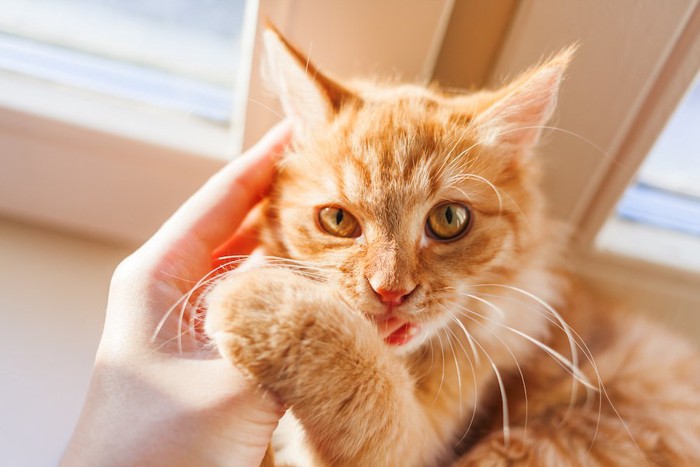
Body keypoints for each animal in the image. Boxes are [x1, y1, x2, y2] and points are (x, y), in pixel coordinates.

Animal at [204, 30, 700, 467]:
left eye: (449, 220)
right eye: (338, 220)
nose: (390, 291)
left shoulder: (420, 441)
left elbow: (374, 391)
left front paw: (267, 306)